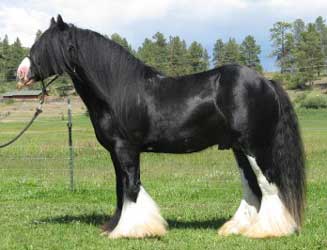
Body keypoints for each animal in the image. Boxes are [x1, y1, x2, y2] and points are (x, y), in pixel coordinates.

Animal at [17, 15, 304, 238]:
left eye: (44, 46)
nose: (20, 74)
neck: (117, 91)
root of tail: (266, 82)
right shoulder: (115, 152)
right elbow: (120, 188)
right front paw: (115, 226)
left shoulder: (126, 149)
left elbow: (131, 187)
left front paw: (130, 230)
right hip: (238, 148)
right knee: (252, 187)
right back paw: (238, 228)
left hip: (254, 146)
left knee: (268, 184)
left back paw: (268, 230)